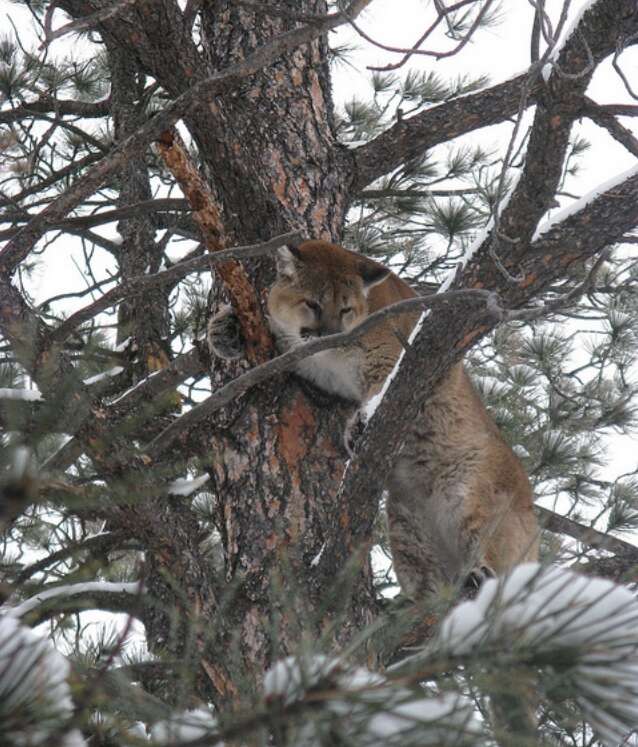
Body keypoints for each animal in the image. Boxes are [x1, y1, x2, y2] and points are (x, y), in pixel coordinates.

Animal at [210, 243, 540, 600]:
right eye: (312, 303)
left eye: (345, 308)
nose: (330, 334)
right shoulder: (319, 365)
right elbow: (285, 346)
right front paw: (226, 329)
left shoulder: (390, 357)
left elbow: (385, 389)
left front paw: (359, 426)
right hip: (408, 528)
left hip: (478, 497)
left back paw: (480, 577)